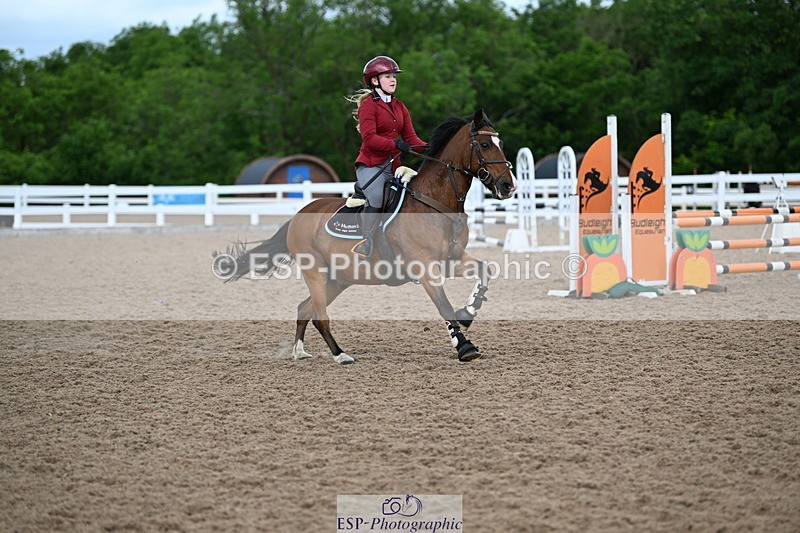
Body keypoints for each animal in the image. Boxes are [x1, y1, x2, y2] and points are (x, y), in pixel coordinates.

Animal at [215, 109, 516, 364]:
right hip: (315, 272)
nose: (507, 186)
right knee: (319, 316)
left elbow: (485, 270)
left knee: (304, 309)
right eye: (485, 145)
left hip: (338, 279)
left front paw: (468, 313)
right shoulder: (425, 268)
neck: (434, 203)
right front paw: (465, 347)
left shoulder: (452, 259)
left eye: (500, 142)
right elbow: (443, 306)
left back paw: (299, 352)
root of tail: (299, 215)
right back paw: (340, 355)